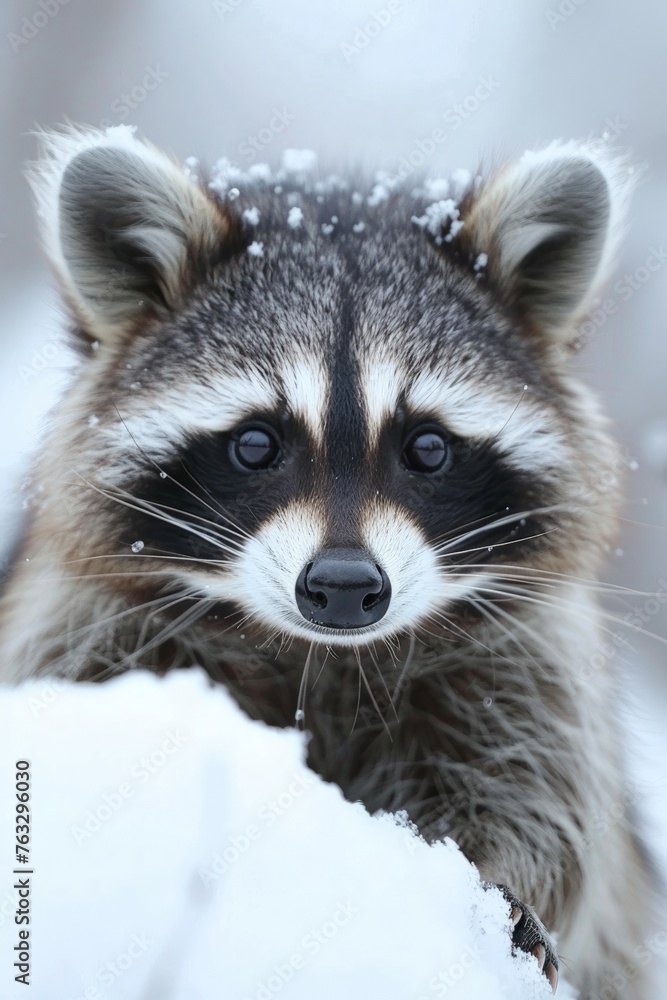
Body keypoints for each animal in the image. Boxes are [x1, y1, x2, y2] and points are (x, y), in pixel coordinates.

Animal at [0, 127, 656, 1000]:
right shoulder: (90, 623)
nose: (344, 587)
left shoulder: (525, 651)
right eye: (255, 444)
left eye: (427, 448)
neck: (326, 656)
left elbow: (545, 797)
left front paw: (502, 883)